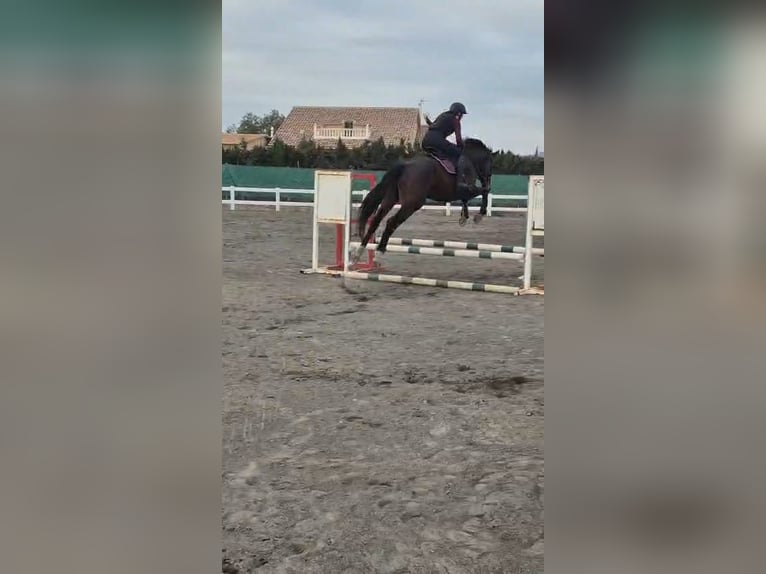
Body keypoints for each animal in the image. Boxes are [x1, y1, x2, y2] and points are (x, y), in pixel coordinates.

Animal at [356, 138, 493, 255]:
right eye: (489, 163)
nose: (487, 179)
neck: (470, 159)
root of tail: (405, 165)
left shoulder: (464, 192)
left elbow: (469, 199)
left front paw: (464, 217)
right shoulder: (469, 189)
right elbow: (485, 191)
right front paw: (479, 215)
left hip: (391, 199)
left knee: (376, 219)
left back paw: (360, 251)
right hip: (412, 204)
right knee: (391, 221)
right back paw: (381, 248)